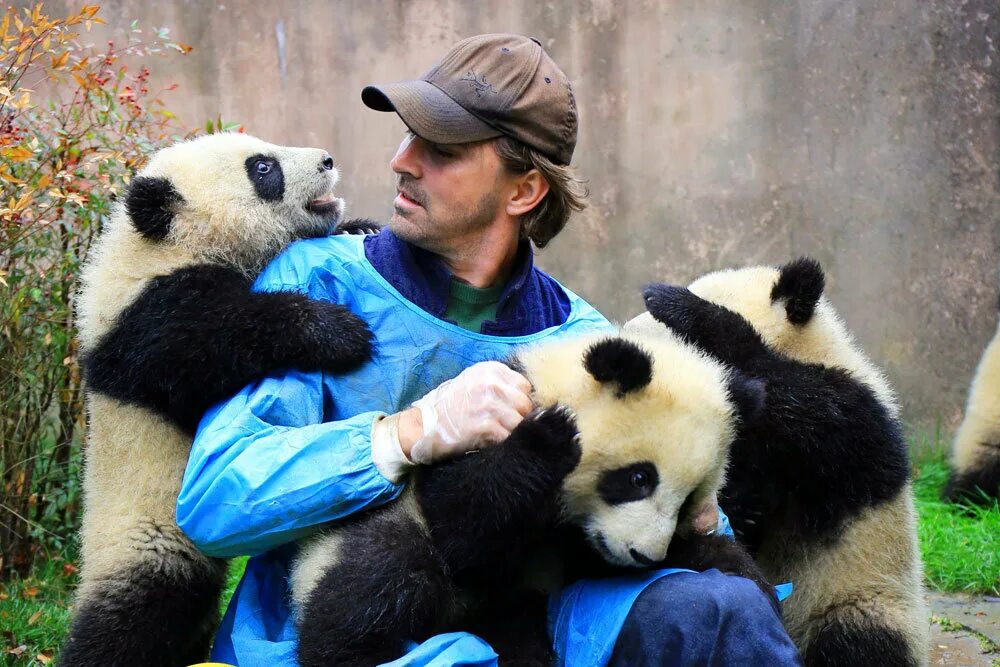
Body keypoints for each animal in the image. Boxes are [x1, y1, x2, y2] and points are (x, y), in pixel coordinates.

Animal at [63, 133, 376, 667]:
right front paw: (338, 331)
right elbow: (218, 339)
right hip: (146, 534)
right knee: (132, 618)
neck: (158, 248)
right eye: (263, 169)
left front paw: (363, 226)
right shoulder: (149, 323)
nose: (327, 160)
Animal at [286, 328, 768, 667]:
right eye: (639, 479)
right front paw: (547, 437)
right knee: (380, 570)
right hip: (347, 546)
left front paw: (733, 564)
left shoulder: (578, 545)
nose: (643, 556)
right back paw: (355, 653)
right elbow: (462, 526)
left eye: (689, 501)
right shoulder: (477, 434)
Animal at [636, 260, 924, 667]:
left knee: (858, 640)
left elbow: (807, 403)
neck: (811, 348)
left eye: (667, 336)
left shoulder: (853, 425)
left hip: (863, 592)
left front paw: (678, 306)